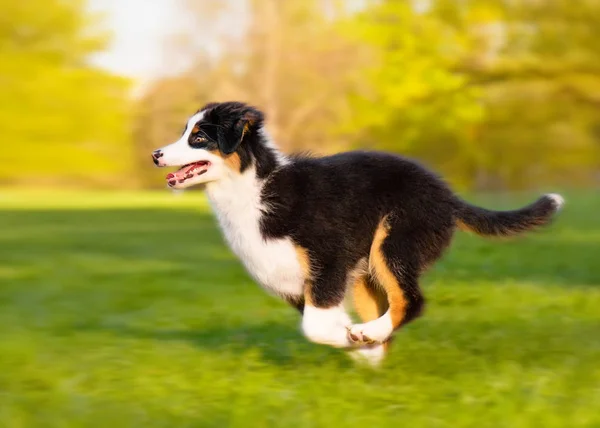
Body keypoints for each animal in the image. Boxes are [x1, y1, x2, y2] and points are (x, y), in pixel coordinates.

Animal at [150, 100, 564, 364]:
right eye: (185, 132)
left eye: (198, 137)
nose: (155, 154)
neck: (254, 186)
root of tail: (447, 195)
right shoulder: (295, 281)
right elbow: (322, 321)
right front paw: (361, 348)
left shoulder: (327, 259)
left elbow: (315, 327)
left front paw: (355, 340)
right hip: (368, 272)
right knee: (390, 304)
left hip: (394, 242)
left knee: (411, 301)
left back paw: (371, 334)